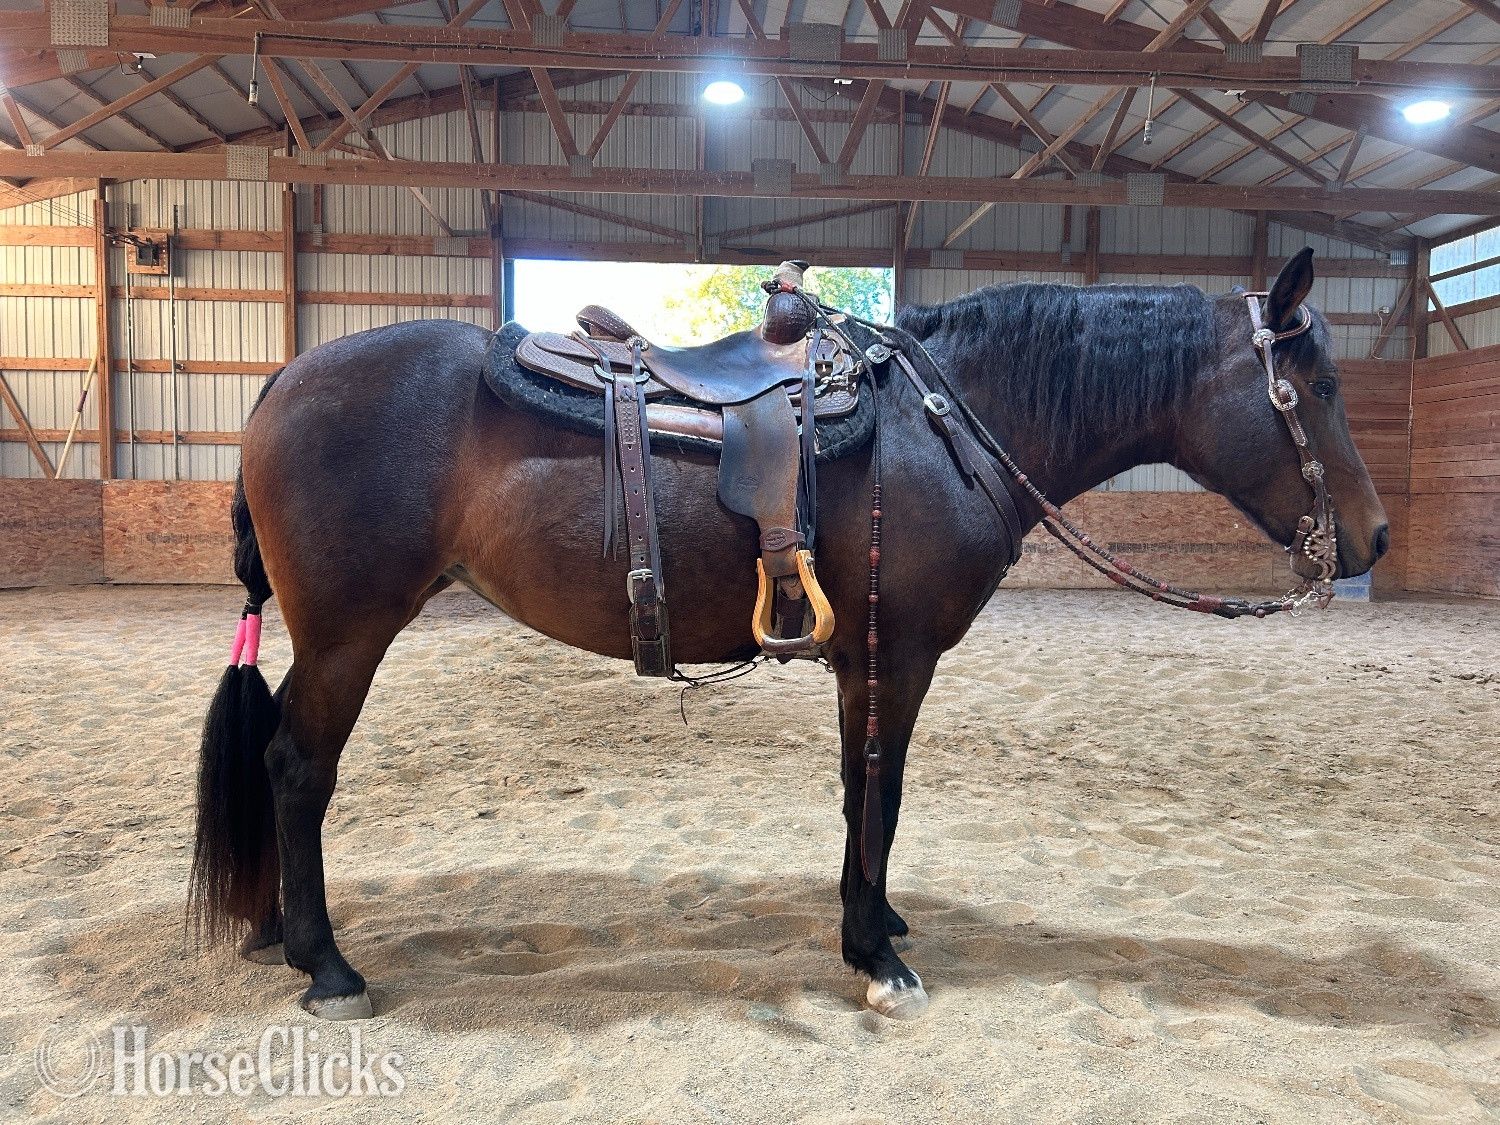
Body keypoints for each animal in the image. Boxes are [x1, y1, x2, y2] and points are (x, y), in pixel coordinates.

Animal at [191, 248, 1389, 1022]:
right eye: (1321, 385)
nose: (1373, 537)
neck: (938, 425)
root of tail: (282, 381)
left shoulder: (865, 661)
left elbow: (862, 793)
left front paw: (881, 920)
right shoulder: (897, 657)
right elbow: (881, 791)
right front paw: (873, 955)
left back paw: (285, 935)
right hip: (350, 634)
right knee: (298, 768)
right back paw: (328, 967)